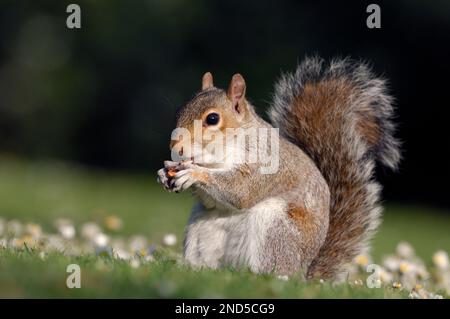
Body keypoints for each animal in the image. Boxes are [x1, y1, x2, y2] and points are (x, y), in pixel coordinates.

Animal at [156, 57, 400, 280]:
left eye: (213, 118)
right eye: (179, 111)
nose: (175, 147)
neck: (219, 155)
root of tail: (302, 274)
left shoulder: (265, 164)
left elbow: (240, 191)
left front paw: (194, 173)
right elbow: (212, 199)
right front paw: (165, 172)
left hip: (275, 228)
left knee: (273, 272)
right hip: (201, 229)